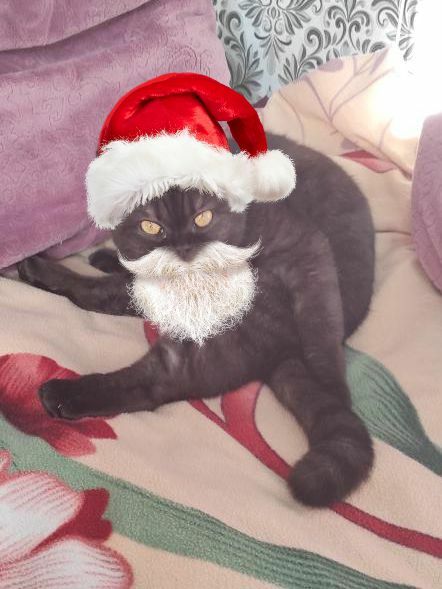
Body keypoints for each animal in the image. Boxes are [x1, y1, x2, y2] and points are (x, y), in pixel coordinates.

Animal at [18, 134, 375, 507]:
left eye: (202, 218)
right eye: (152, 227)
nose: (184, 247)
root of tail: (283, 350)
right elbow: (111, 289)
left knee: (159, 383)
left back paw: (61, 393)